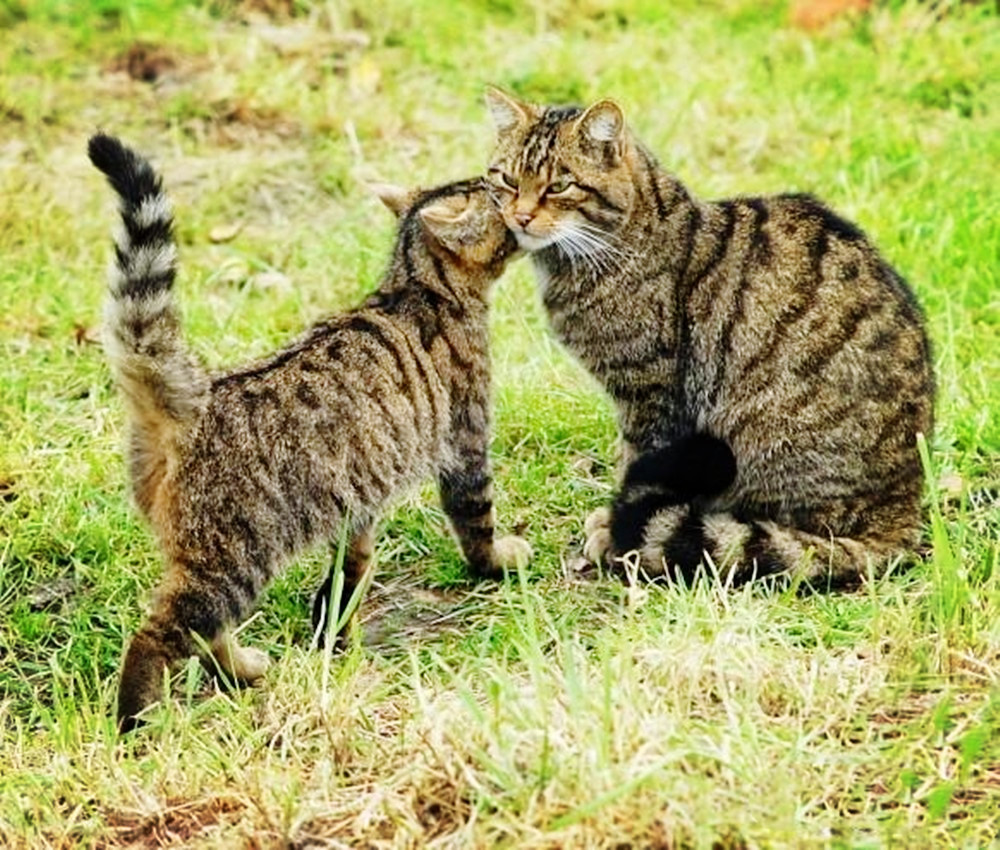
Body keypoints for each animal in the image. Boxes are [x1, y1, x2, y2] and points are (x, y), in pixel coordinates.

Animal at [90, 132, 532, 728]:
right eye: (501, 190)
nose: (522, 199)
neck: (416, 286)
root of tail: (194, 397)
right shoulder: (466, 445)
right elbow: (475, 521)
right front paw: (497, 561)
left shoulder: (361, 491)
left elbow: (352, 566)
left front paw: (336, 632)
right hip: (232, 559)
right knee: (159, 633)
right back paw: (141, 719)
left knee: (204, 633)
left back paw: (242, 671)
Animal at [484, 89, 936, 588]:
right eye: (506, 179)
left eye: (560, 186)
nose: (520, 216)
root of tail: (902, 512)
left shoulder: (650, 392)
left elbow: (632, 460)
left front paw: (612, 529)